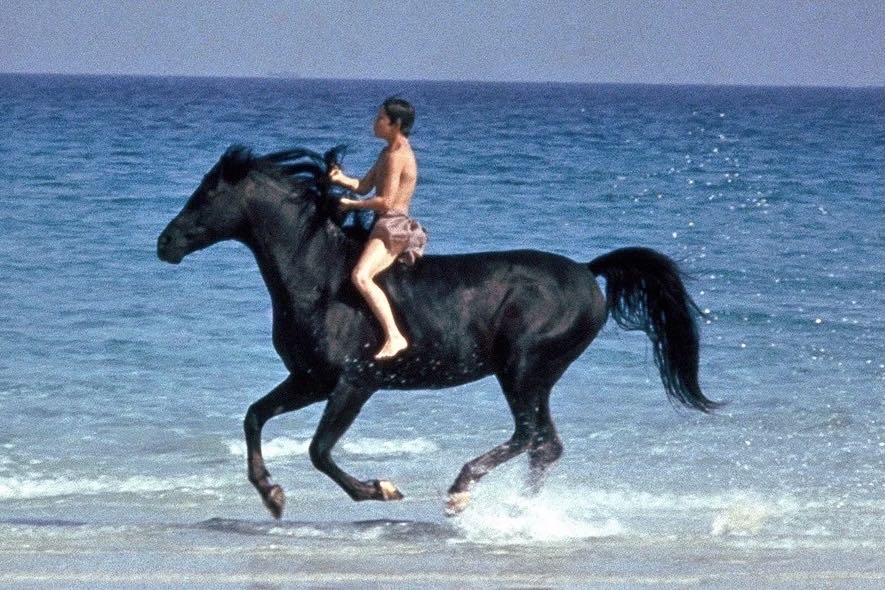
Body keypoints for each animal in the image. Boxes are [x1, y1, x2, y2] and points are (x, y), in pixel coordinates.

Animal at [157, 145, 719, 519]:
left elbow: (319, 450)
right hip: (536, 376)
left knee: (530, 435)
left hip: (522, 368)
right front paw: (272, 496)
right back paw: (518, 512)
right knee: (546, 444)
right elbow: (255, 416)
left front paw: (381, 489)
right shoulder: (310, 379)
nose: (165, 244)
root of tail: (588, 271)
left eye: (207, 194)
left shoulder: (355, 382)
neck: (321, 276)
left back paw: (460, 491)